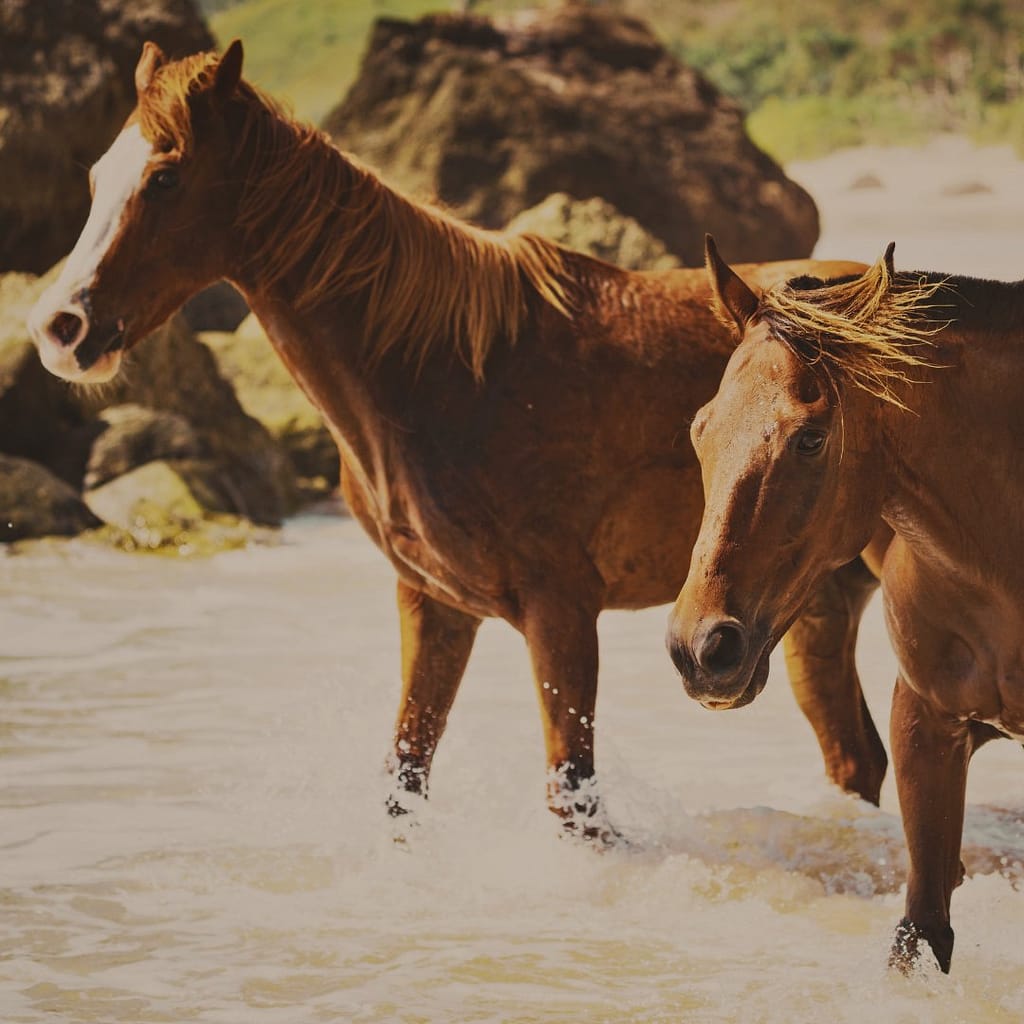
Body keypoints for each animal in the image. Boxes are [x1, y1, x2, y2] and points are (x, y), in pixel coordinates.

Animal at [28, 40, 887, 841]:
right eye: (99, 177)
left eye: (165, 179)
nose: (59, 328)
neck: (452, 375)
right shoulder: (434, 605)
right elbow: (405, 779)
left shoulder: (561, 609)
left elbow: (574, 803)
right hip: (810, 607)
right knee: (857, 761)